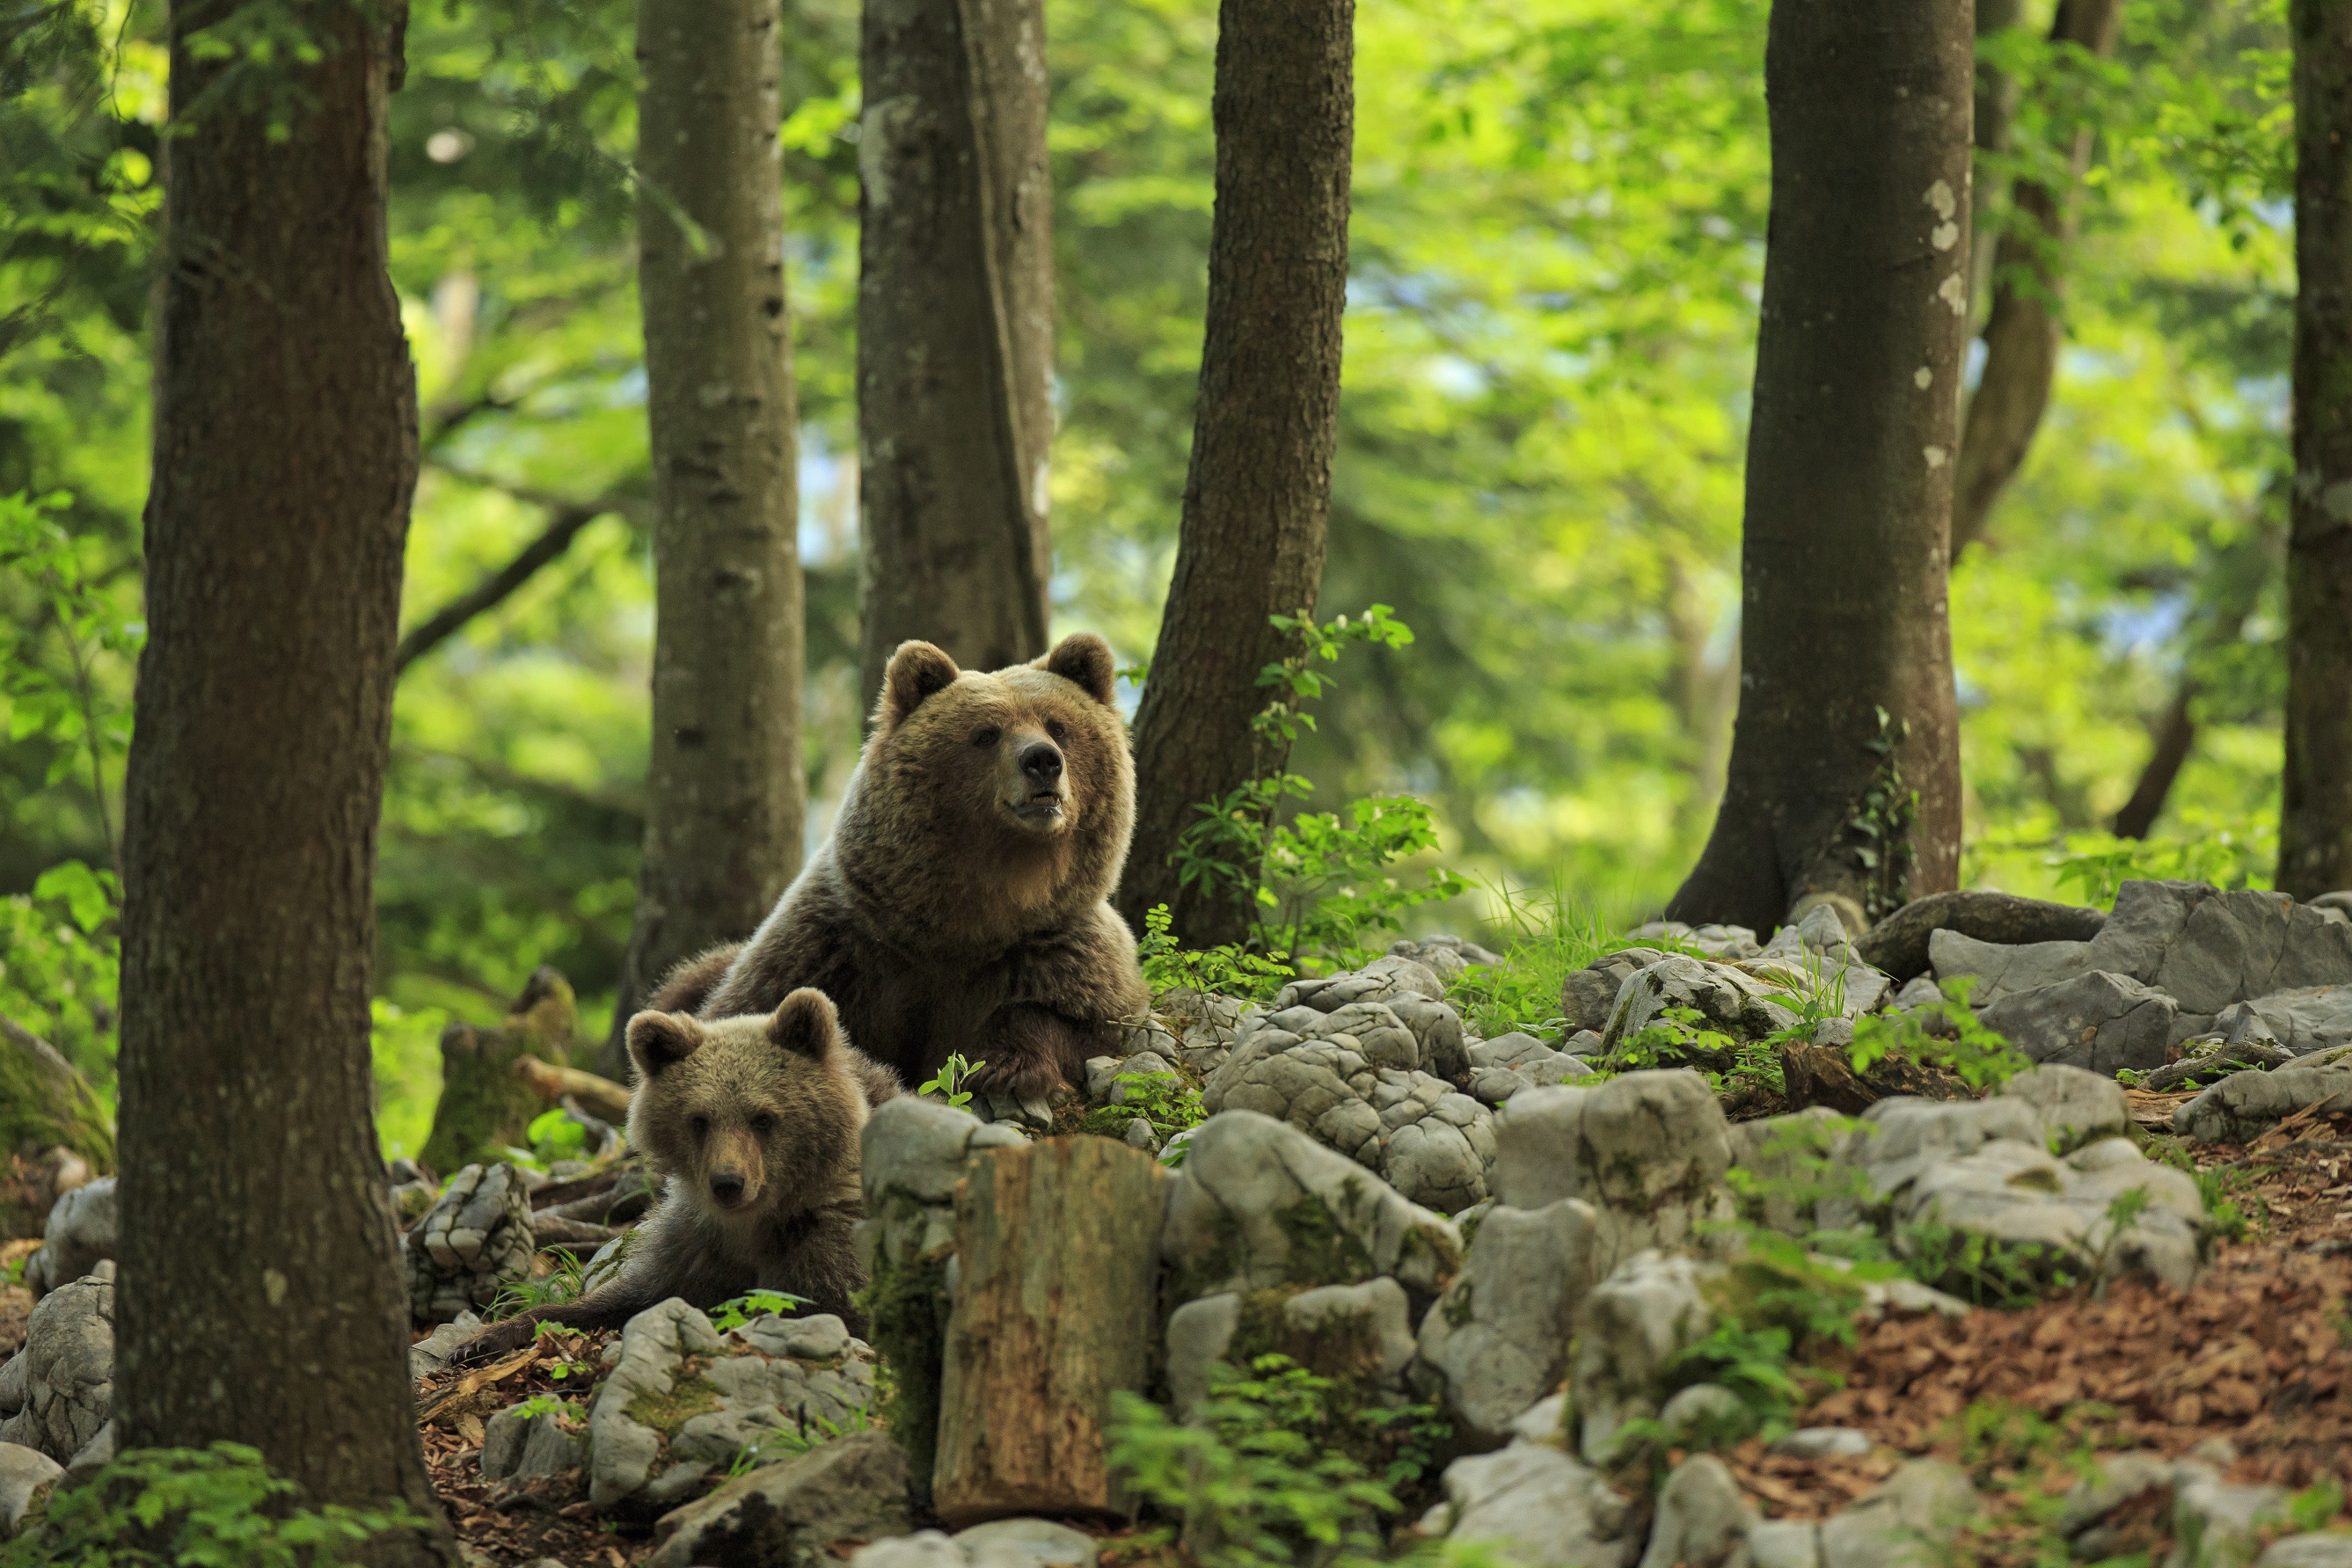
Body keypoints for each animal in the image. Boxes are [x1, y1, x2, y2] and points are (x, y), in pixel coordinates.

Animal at [450, 988, 897, 1363]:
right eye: (699, 1120)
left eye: (763, 1118)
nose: (728, 1183)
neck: (754, 1224)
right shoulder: (695, 1246)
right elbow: (620, 1300)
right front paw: (480, 1339)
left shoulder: (827, 1242)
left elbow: (833, 1310)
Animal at [659, 631, 1149, 1106]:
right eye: (987, 733)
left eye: (1058, 726)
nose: (1042, 760)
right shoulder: (837, 949)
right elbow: (749, 1011)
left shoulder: (1055, 949)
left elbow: (1075, 1020)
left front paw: (1005, 1066)